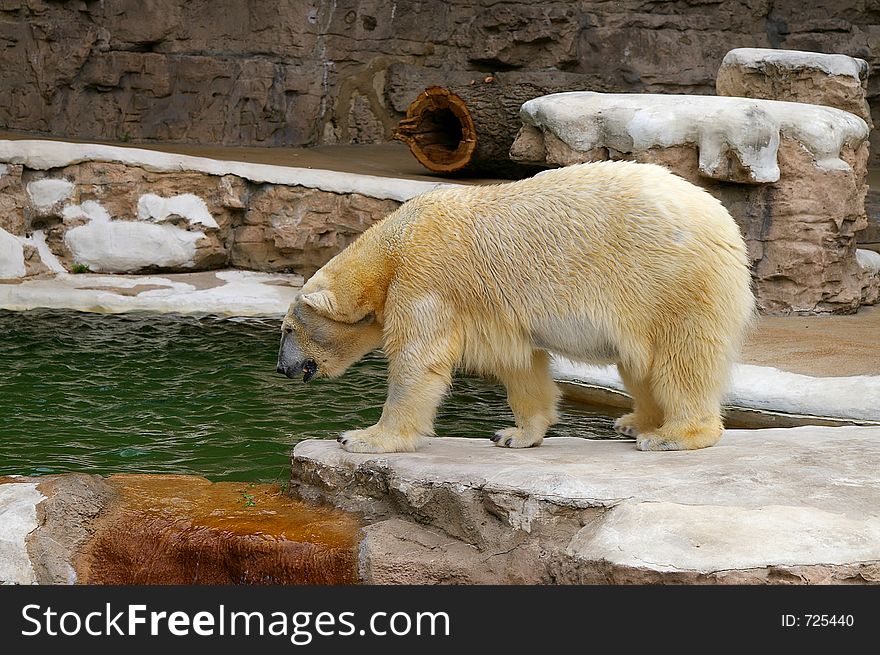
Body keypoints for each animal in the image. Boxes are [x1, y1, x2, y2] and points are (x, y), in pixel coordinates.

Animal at [276, 161, 756, 454]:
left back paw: (671, 436)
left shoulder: (427, 280)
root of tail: (726, 224)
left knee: (683, 359)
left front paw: (362, 437)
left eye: (287, 329)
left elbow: (418, 360)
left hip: (669, 281)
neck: (392, 248)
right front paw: (514, 434)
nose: (282, 368)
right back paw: (635, 422)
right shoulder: (496, 313)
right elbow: (520, 363)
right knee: (640, 364)